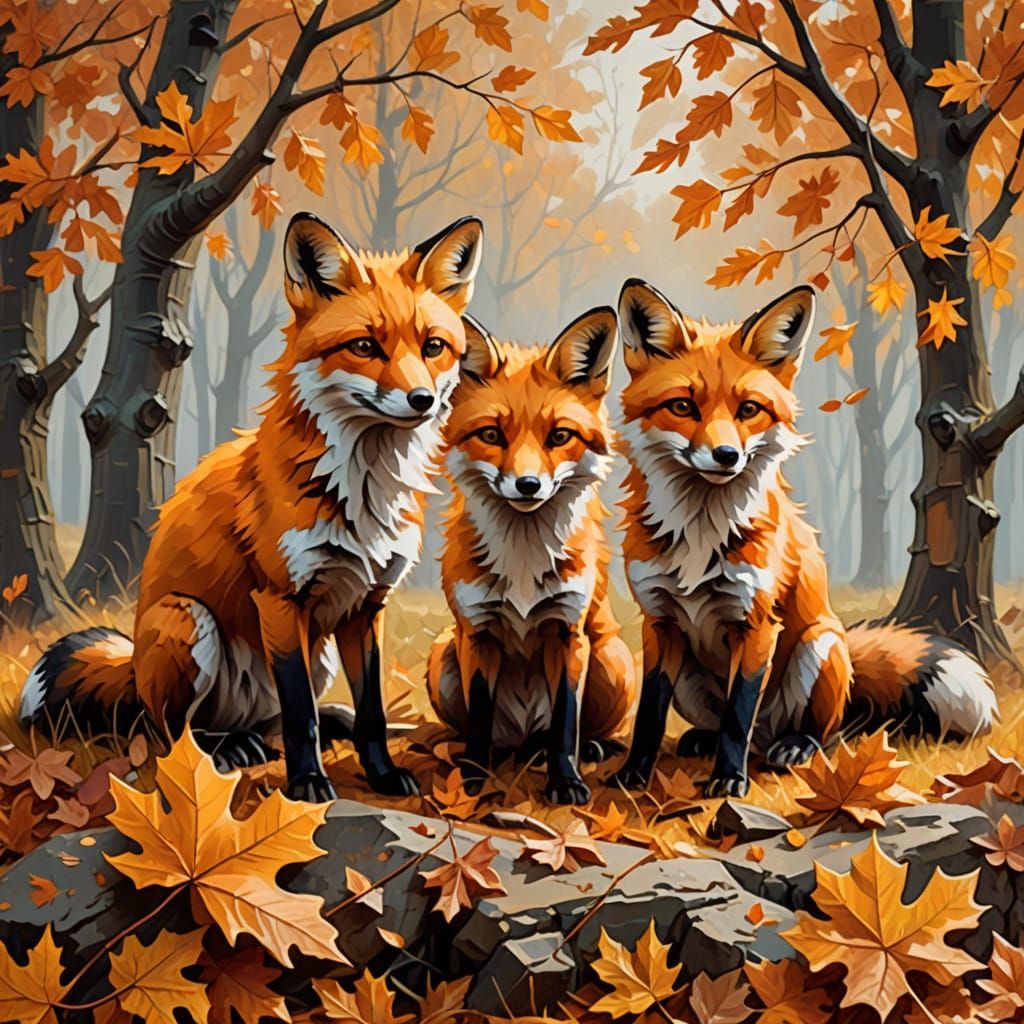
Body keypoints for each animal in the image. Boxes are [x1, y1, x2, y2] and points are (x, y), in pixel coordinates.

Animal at [20, 211, 485, 802]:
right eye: (364, 346)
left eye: (433, 347)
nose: (422, 401)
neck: (360, 494)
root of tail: (133, 672)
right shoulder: (280, 600)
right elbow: (301, 714)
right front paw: (308, 783)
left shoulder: (366, 605)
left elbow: (371, 713)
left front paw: (380, 773)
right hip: (188, 622)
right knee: (173, 732)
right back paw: (227, 748)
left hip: (317, 652)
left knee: (274, 723)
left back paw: (278, 734)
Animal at [427, 310, 637, 804]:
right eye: (491, 435)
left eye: (559, 436)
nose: (527, 485)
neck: (522, 558)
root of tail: (523, 737)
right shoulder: (478, 635)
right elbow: (480, 720)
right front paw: (472, 782)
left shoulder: (568, 632)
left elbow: (564, 725)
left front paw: (567, 782)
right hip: (443, 654)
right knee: (485, 736)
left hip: (613, 657)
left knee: (567, 734)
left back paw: (591, 749)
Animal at [610, 278, 998, 798]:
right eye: (682, 407)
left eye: (749, 410)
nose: (726, 455)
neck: (700, 533)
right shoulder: (659, 622)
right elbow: (650, 714)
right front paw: (633, 774)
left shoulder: (757, 624)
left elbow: (738, 716)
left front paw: (729, 781)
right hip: (692, 676)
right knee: (729, 726)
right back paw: (702, 741)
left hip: (820, 643)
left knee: (820, 732)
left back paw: (795, 746)